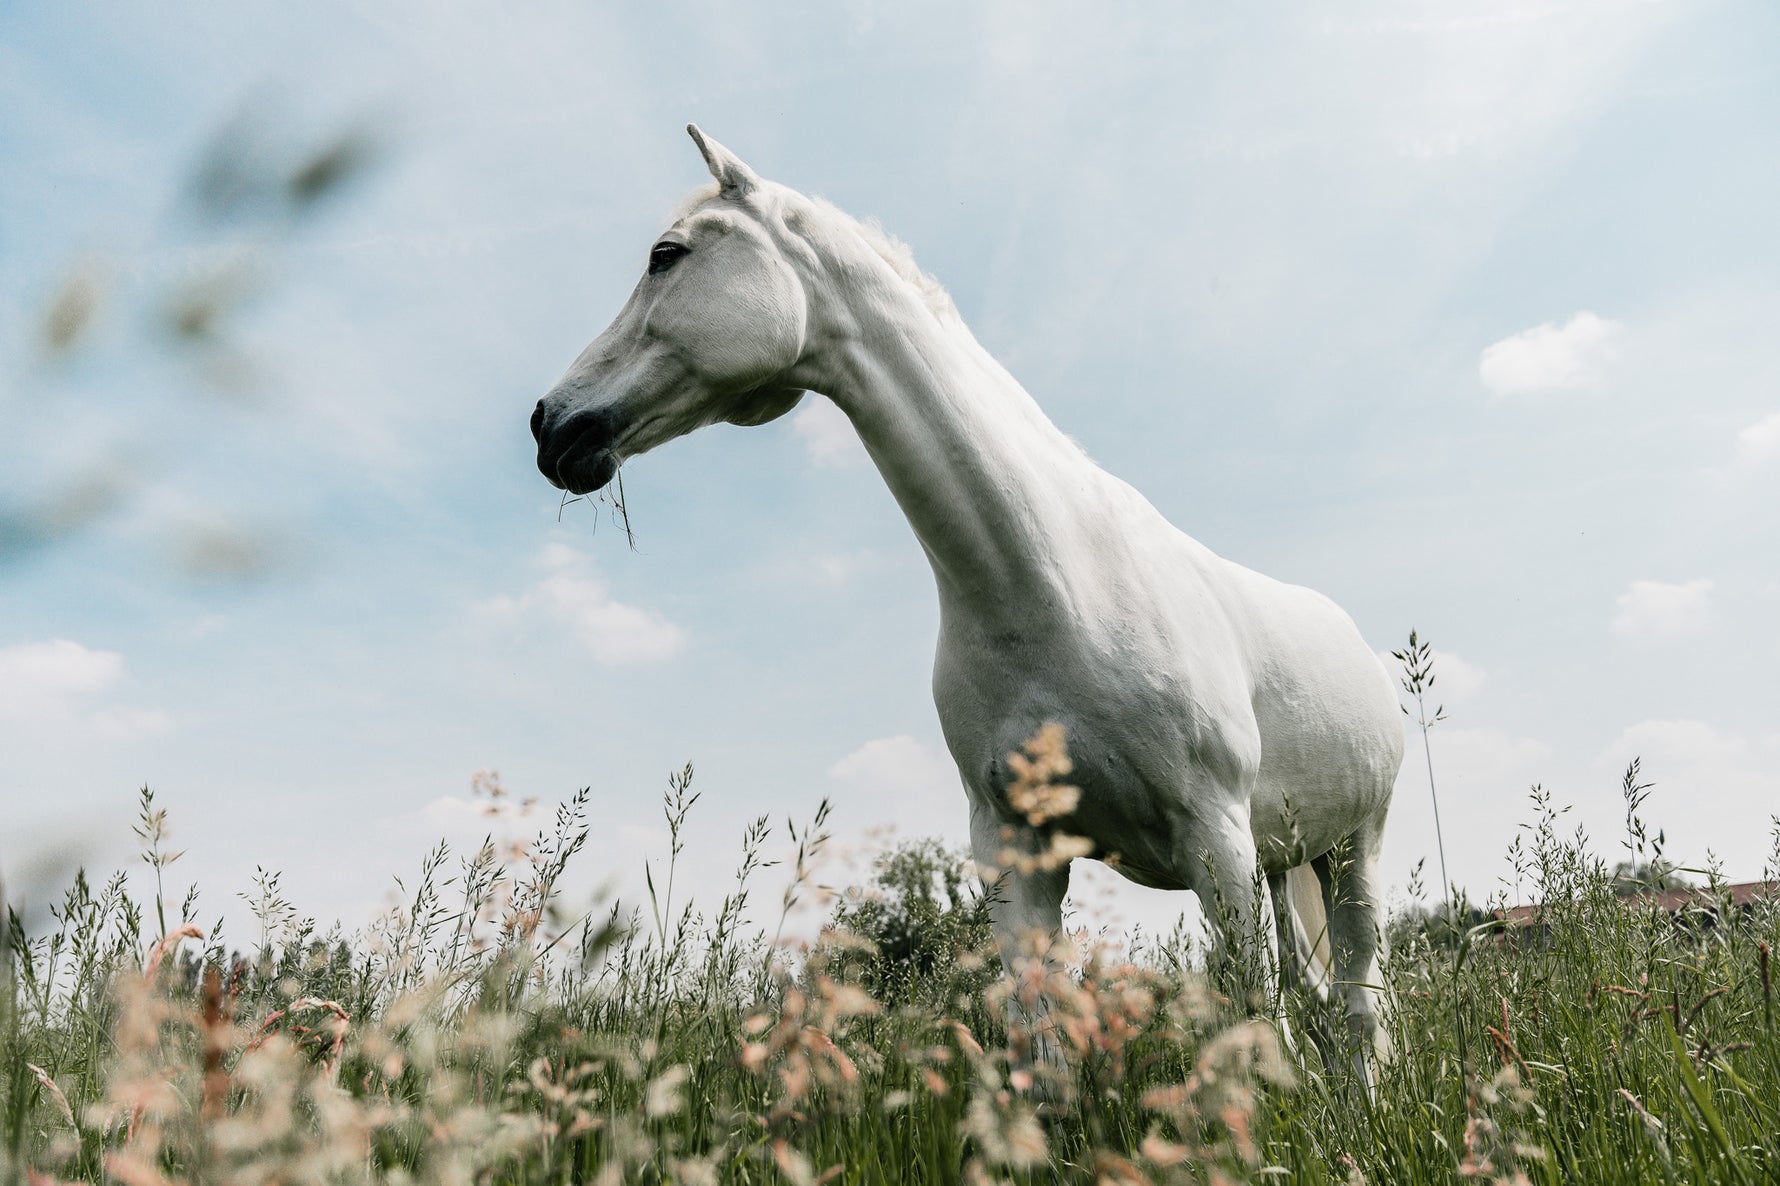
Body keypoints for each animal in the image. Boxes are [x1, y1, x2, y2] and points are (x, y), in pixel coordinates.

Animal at [530, 126, 1404, 1081]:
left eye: (667, 255)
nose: (550, 424)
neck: (1056, 588)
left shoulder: (1216, 838)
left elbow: (1253, 1017)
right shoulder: (1014, 849)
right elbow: (1043, 1043)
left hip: (1351, 849)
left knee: (1358, 1000)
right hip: (1287, 860)